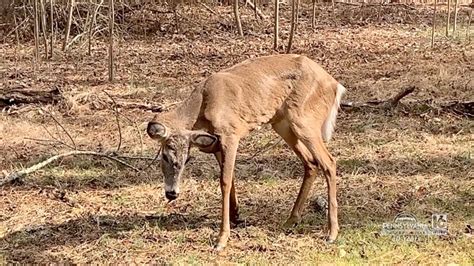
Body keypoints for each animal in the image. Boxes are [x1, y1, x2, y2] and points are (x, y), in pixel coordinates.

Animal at [146, 53, 346, 249]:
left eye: (184, 159)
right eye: (166, 156)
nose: (172, 193)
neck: (203, 106)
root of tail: (335, 85)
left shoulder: (230, 133)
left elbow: (224, 181)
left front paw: (222, 238)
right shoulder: (216, 142)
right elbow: (230, 177)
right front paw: (235, 215)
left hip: (304, 121)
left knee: (329, 162)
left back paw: (332, 232)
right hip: (283, 124)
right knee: (311, 163)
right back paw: (290, 220)